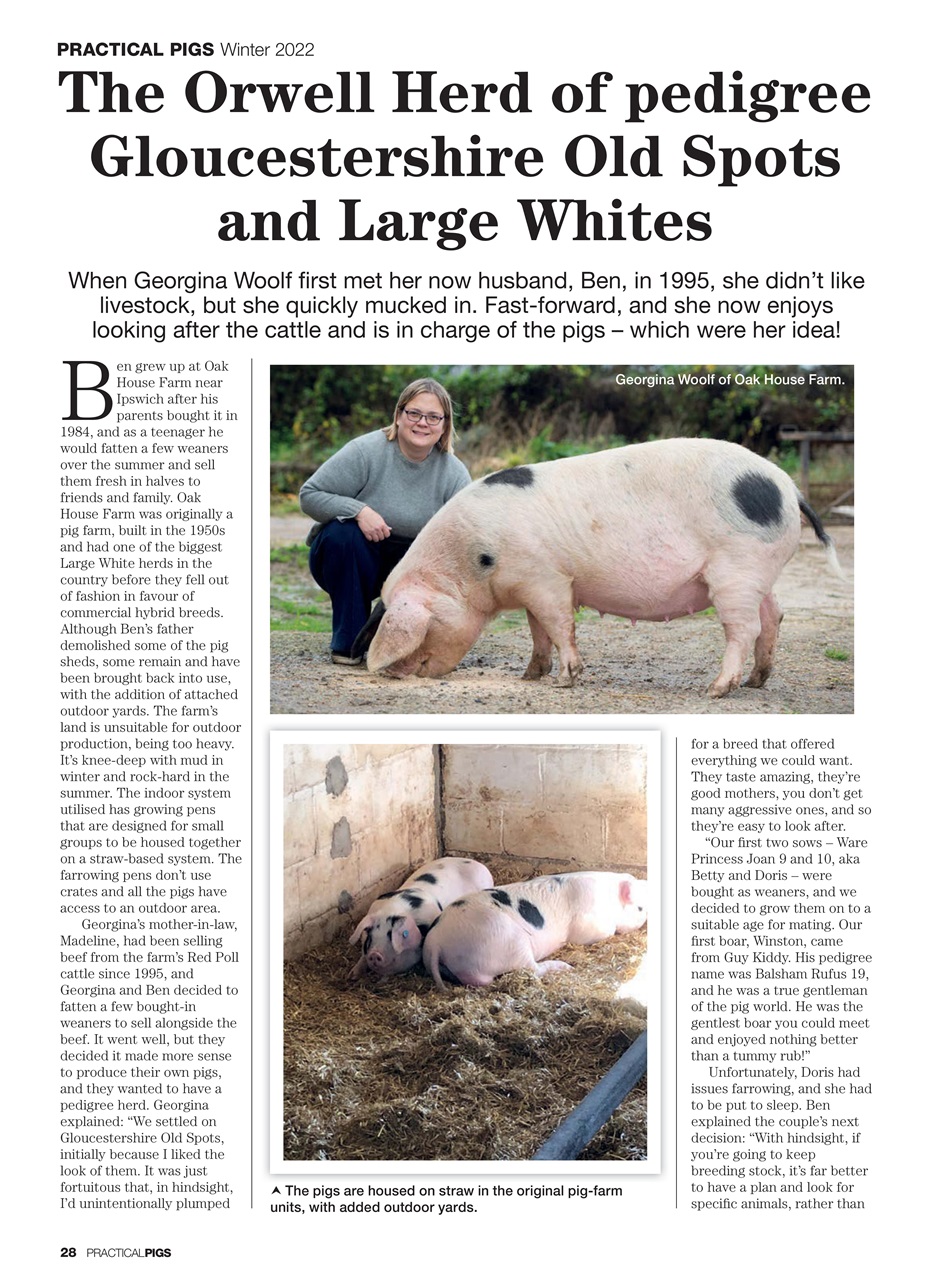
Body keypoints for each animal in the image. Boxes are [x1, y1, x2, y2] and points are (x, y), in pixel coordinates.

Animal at [347, 857, 493, 979]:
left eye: (390, 935)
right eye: (370, 937)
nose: (375, 954)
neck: (394, 908)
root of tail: (477, 863)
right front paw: (352, 976)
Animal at [351, 438, 840, 698]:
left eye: (426, 626)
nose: (392, 673)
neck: (473, 564)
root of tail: (789, 488)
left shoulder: (546, 577)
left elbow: (560, 624)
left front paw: (566, 681)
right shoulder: (529, 585)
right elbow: (538, 631)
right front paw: (530, 675)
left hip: (737, 567)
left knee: (744, 627)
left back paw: (716, 689)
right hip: (759, 572)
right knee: (774, 616)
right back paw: (757, 682)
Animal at [422, 871, 647, 989]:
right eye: (640, 907)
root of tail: (435, 940)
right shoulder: (587, 926)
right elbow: (604, 932)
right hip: (511, 941)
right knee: (529, 969)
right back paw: (565, 966)